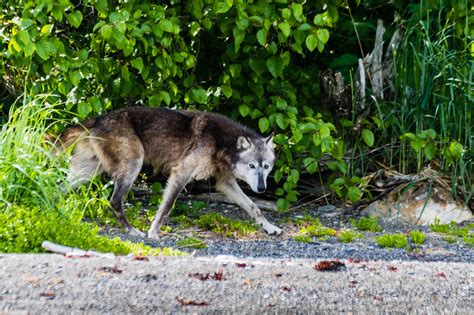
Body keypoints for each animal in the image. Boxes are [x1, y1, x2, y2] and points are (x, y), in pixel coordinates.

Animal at [52, 107, 282, 239]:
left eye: (266, 167)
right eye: (252, 166)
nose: (262, 188)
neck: (221, 140)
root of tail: (97, 119)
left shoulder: (225, 182)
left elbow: (254, 207)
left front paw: (270, 228)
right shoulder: (181, 173)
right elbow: (166, 207)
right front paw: (153, 232)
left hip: (85, 174)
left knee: (58, 188)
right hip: (132, 167)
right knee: (114, 201)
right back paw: (132, 231)